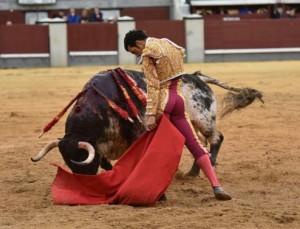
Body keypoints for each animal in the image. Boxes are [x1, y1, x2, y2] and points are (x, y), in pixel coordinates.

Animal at [31, 67, 264, 175]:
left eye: (80, 158)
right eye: (68, 161)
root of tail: (197, 76)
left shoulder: (135, 133)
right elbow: (106, 161)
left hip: (203, 118)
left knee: (216, 139)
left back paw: (206, 167)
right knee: (200, 145)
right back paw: (193, 172)